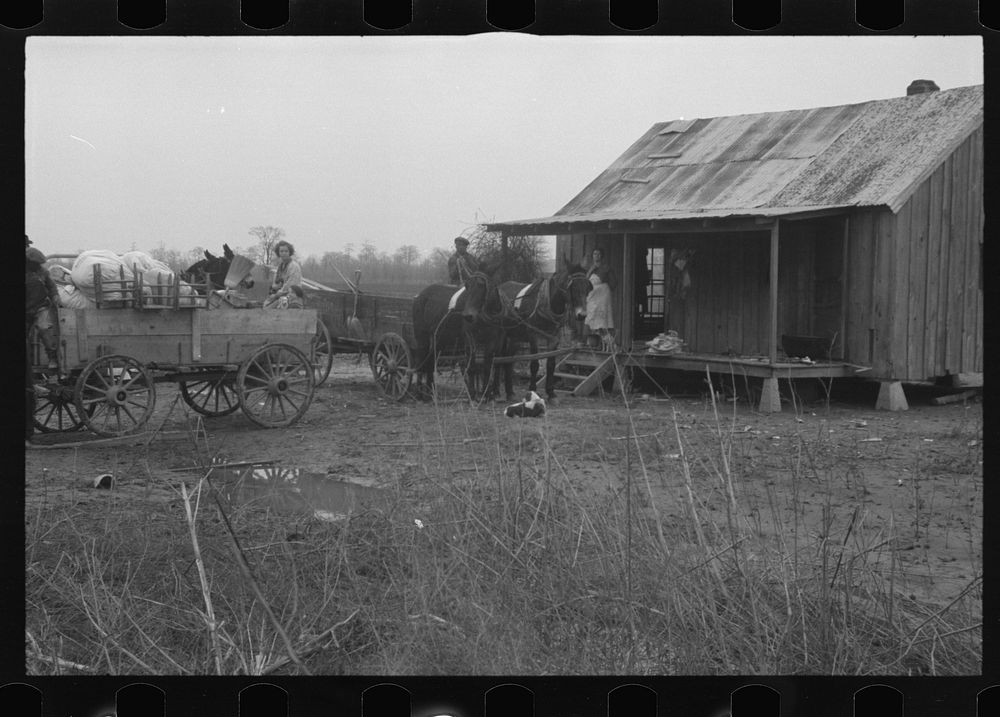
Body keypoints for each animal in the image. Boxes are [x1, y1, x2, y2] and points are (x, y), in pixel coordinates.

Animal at [492, 256, 592, 402]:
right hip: (501, 334)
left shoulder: (554, 337)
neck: (547, 302)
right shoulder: (533, 335)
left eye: (587, 287)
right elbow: (535, 363)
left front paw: (551, 393)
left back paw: (509, 392)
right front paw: (533, 390)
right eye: (572, 286)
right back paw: (495, 392)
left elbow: (551, 364)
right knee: (498, 359)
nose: (582, 315)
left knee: (508, 360)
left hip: (515, 337)